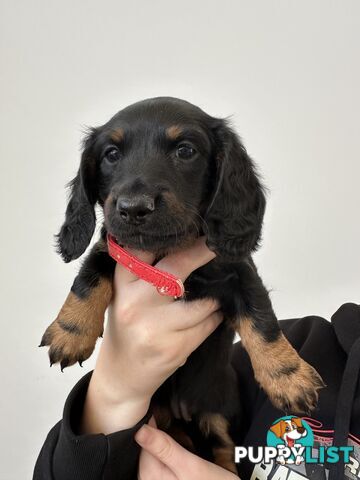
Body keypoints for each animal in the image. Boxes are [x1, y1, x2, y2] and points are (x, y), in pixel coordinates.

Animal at [40, 97, 324, 472]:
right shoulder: (110, 249)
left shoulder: (240, 273)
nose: (134, 208)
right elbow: (88, 277)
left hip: (218, 407)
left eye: (185, 150)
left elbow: (262, 321)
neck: (167, 252)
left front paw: (289, 377)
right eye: (111, 154)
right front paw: (70, 333)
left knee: (222, 446)